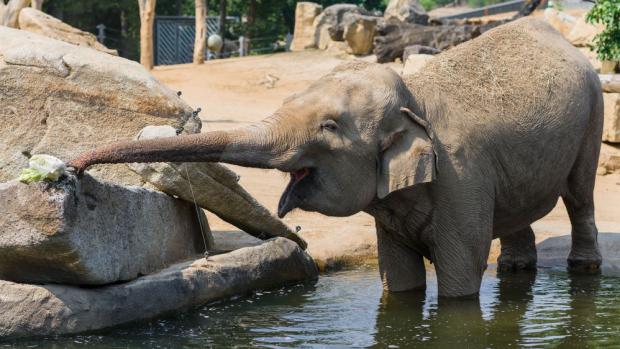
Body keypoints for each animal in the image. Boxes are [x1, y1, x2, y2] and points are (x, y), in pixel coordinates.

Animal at [70, 17, 604, 296]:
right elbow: (399, 274)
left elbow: (459, 273)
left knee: (580, 196)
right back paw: (514, 270)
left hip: (594, 113)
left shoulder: (463, 176)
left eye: (328, 127)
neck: (413, 94)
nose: (75, 168)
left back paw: (583, 269)